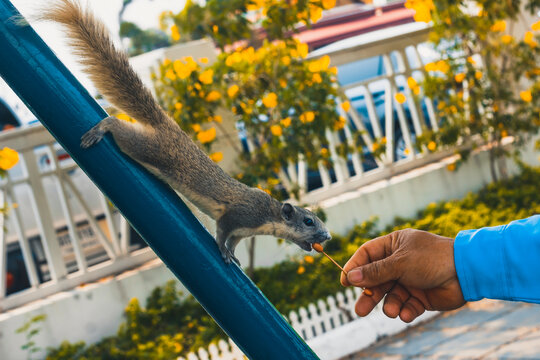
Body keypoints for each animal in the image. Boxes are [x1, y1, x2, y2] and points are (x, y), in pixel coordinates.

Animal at [37, 0, 330, 264]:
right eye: (308, 221)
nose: (327, 237)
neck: (268, 214)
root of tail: (167, 126)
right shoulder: (237, 215)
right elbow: (222, 233)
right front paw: (223, 252)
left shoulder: (243, 231)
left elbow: (234, 241)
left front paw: (233, 254)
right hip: (148, 148)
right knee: (119, 128)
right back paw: (101, 128)